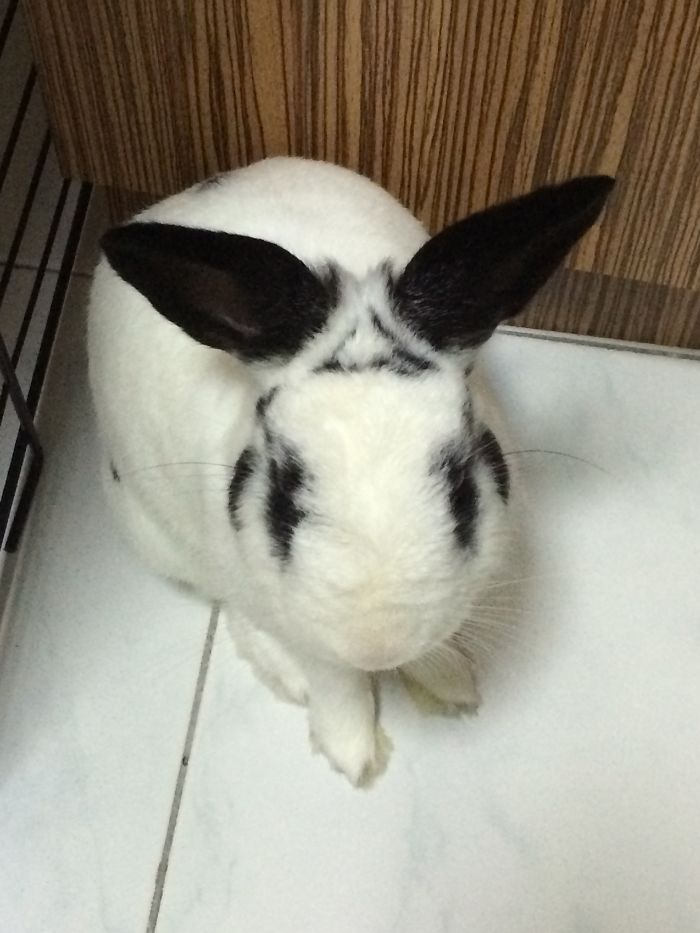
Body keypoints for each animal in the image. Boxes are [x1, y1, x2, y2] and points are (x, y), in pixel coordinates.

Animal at [88, 157, 612, 785]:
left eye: (462, 488)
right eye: (285, 495)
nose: (377, 647)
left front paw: (448, 683)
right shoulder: (291, 611)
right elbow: (332, 679)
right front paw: (352, 751)